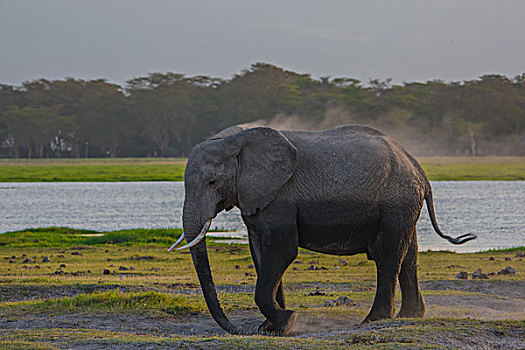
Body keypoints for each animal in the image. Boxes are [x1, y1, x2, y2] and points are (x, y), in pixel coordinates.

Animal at [169, 125, 474, 336]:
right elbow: (260, 253)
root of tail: (419, 168)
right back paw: (409, 317)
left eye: (212, 182)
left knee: (389, 255)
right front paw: (271, 327)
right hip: (403, 204)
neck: (236, 139)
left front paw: (287, 321)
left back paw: (373, 320)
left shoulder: (281, 198)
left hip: (396, 202)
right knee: (408, 254)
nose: (238, 330)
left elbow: (281, 251)